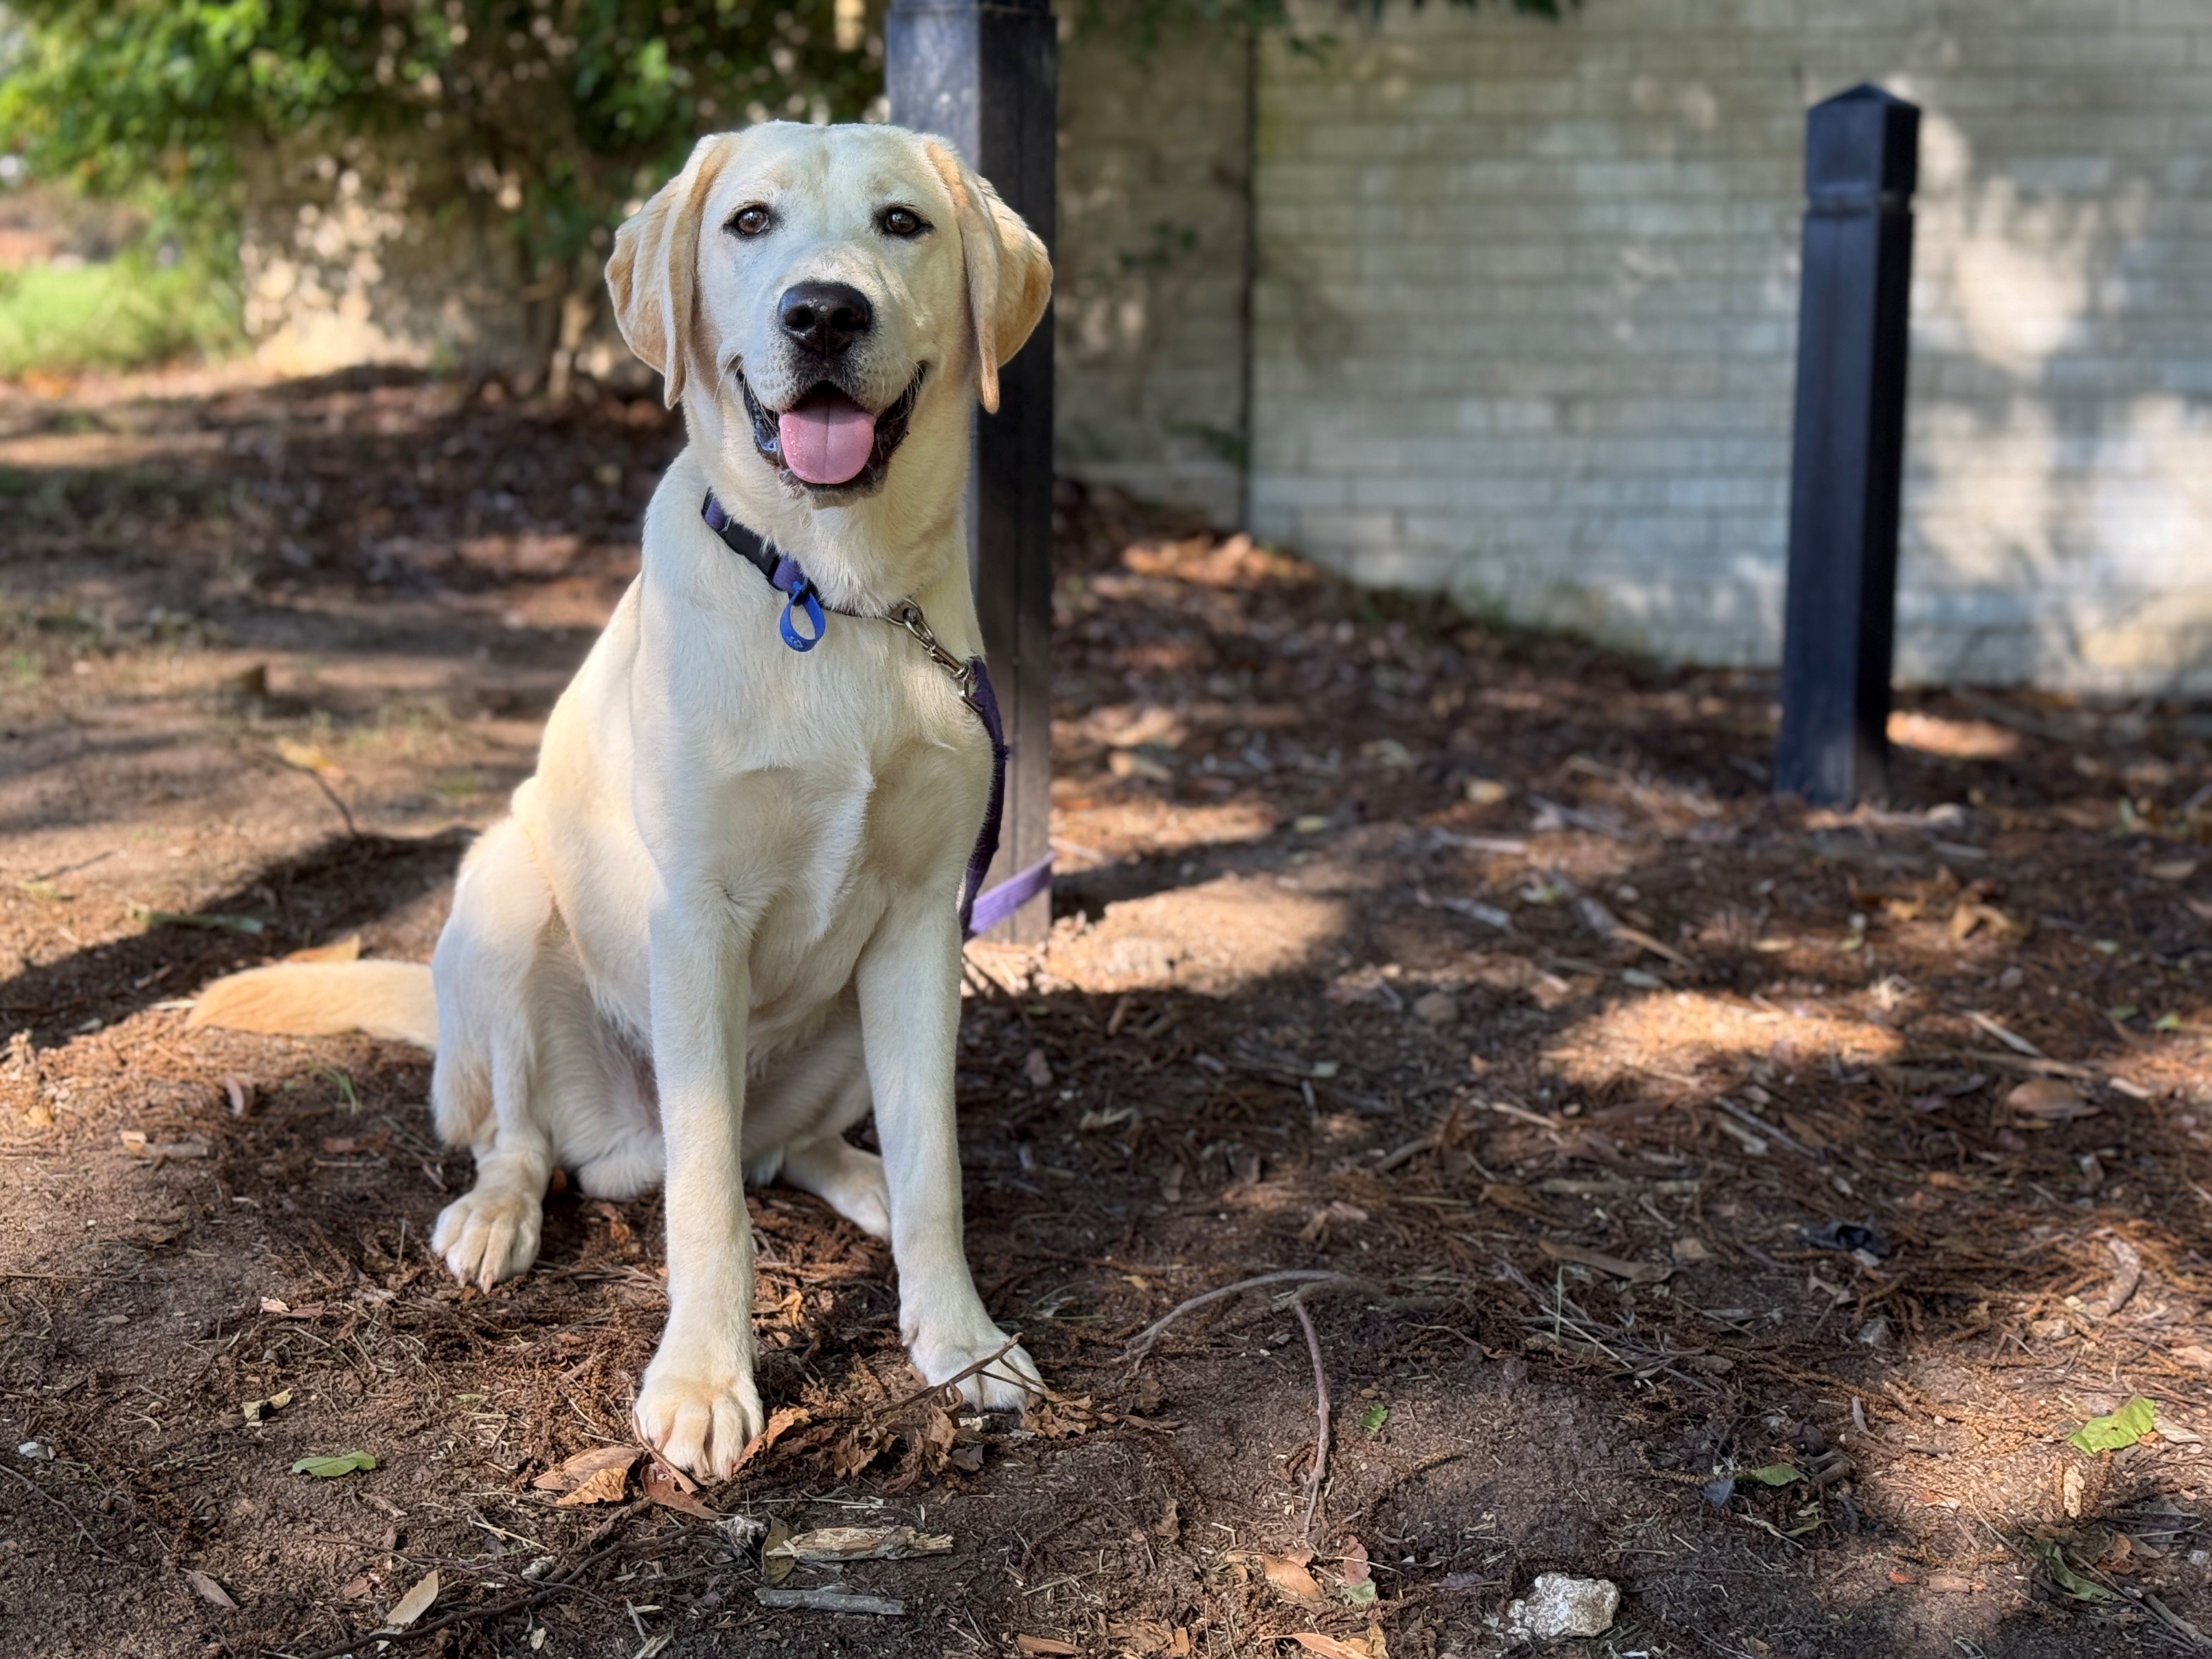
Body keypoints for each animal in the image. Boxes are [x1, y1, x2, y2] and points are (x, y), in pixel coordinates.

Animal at [190, 120, 1053, 1477]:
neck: (833, 595)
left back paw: (850, 1175)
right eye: (749, 222)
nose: (823, 313)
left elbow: (938, 1171)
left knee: (780, 1150)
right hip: (502, 901)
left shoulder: (925, 922)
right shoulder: (694, 923)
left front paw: (959, 1341)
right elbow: (705, 1206)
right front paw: (703, 1381)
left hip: (846, 1023)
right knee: (532, 1140)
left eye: (903, 223)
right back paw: (495, 1218)